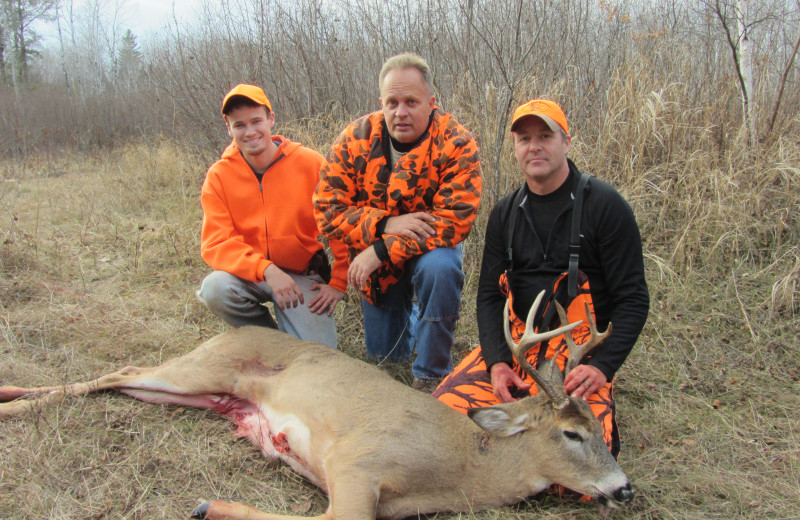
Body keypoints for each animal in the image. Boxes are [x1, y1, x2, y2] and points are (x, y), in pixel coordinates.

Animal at [3, 290, 636, 516]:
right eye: (572, 434)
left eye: (599, 428)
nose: (625, 487)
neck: (460, 468)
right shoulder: (357, 463)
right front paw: (207, 506)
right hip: (206, 366)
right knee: (122, 369)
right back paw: (9, 404)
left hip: (202, 392)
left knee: (127, 378)